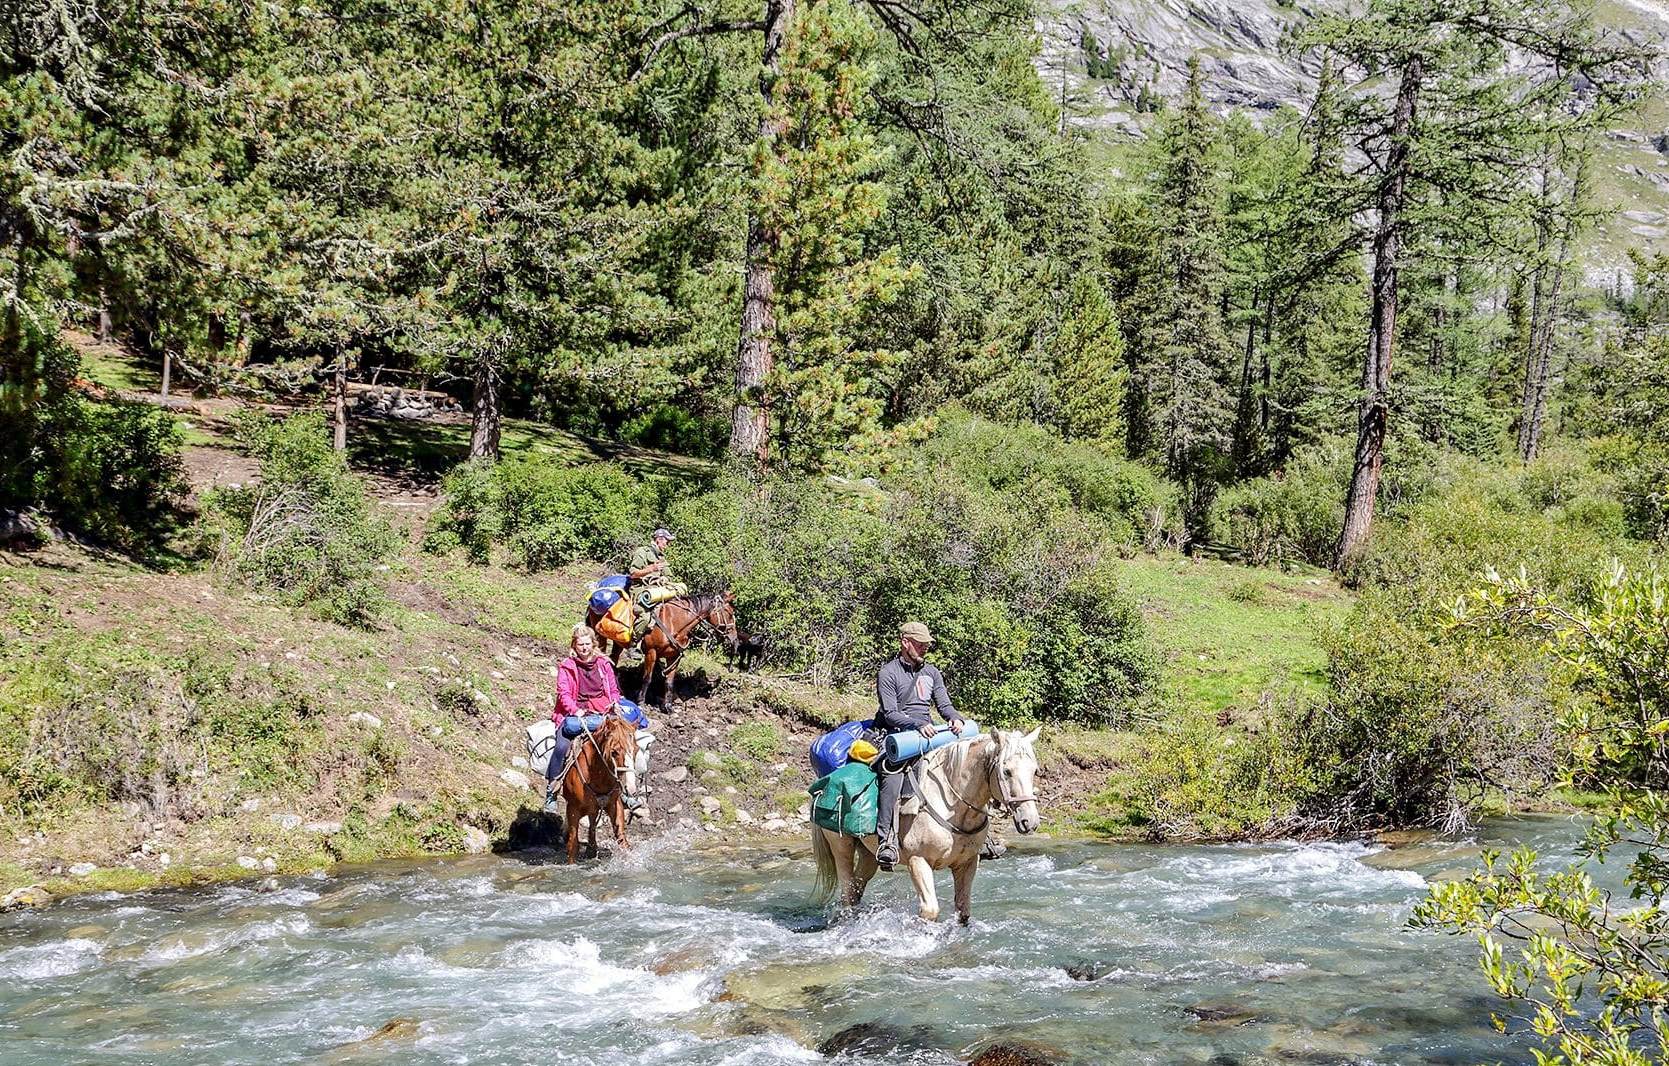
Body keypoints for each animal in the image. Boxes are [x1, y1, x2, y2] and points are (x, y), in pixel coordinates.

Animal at [560, 715, 642, 863]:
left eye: (636, 749)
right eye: (614, 752)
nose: (631, 788)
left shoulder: (615, 805)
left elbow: (622, 840)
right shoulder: (573, 809)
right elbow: (573, 846)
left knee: (592, 822)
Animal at [589, 591, 737, 706]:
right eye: (730, 613)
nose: (735, 639)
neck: (675, 624)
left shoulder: (674, 657)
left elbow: (669, 682)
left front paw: (668, 706)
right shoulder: (651, 653)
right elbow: (647, 678)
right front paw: (641, 701)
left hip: (618, 643)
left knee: (613, 660)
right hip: (599, 636)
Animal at [811, 728, 1041, 925]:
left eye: (1034, 771)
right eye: (1007, 771)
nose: (1030, 822)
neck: (951, 804)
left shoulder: (967, 863)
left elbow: (963, 911)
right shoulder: (918, 861)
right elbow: (929, 911)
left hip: (868, 854)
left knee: (857, 888)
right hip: (841, 846)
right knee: (847, 892)